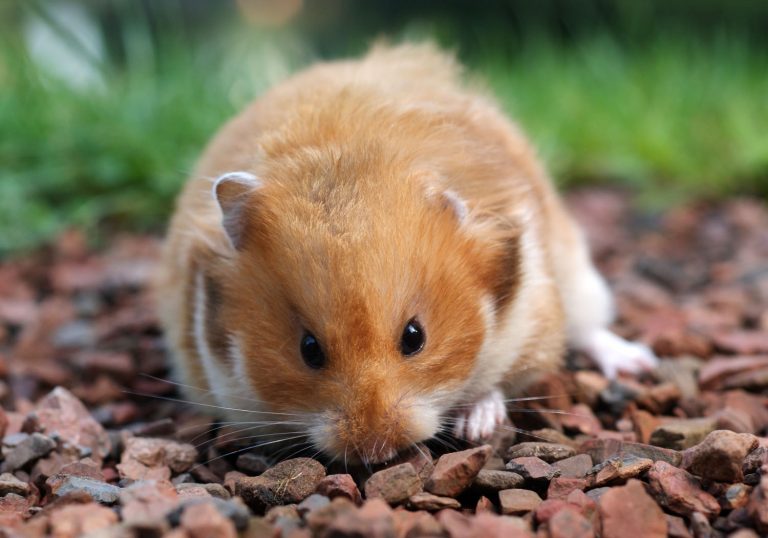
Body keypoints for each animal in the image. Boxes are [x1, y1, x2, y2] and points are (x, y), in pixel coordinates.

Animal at [156, 43, 657, 464]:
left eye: (415, 336)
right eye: (308, 349)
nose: (376, 450)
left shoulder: (533, 321)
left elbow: (496, 383)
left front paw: (477, 428)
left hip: (578, 278)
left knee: (591, 329)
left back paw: (638, 364)